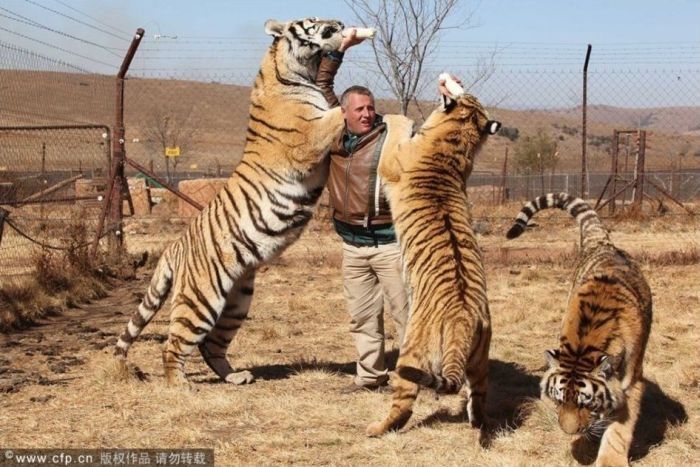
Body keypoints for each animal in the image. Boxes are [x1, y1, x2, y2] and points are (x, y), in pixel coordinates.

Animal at [113, 17, 350, 388]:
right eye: (313, 22)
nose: (339, 23)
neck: (298, 73)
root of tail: (173, 247)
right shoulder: (309, 139)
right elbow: (336, 113)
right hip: (201, 297)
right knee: (175, 343)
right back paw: (179, 385)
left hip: (237, 301)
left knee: (211, 345)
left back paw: (236, 376)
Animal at [364, 81, 500, 438]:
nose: (452, 79)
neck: (456, 139)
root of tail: (463, 319)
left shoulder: (391, 163)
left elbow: (396, 131)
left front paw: (396, 116)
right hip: (480, 359)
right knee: (480, 395)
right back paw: (478, 424)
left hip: (411, 351)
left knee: (403, 404)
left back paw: (376, 428)